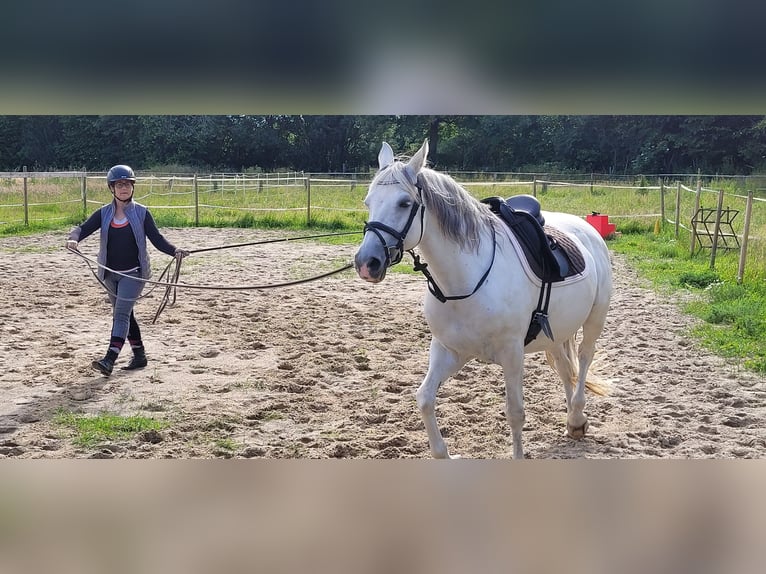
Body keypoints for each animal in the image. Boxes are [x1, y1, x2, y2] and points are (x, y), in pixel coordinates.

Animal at [354, 142, 612, 462]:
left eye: (404, 203)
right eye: (368, 202)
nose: (367, 263)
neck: (466, 280)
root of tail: (585, 229)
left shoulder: (512, 354)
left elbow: (515, 413)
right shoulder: (449, 350)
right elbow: (424, 398)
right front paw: (444, 455)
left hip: (594, 321)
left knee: (585, 357)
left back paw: (576, 415)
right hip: (556, 334)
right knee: (566, 369)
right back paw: (574, 423)